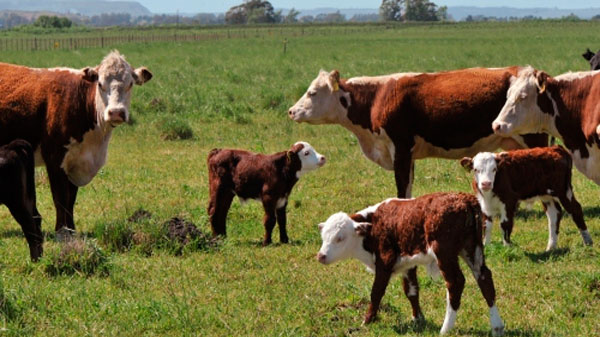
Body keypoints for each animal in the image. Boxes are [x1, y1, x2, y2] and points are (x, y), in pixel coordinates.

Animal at [0, 51, 152, 232]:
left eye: (130, 84)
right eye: (100, 84)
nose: (116, 112)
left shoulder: (77, 161)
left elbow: (70, 200)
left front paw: (71, 229)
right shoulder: (55, 158)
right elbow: (60, 198)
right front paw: (62, 231)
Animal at [288, 69, 548, 198]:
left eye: (312, 92)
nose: (291, 111)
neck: (377, 97)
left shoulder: (400, 148)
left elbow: (402, 186)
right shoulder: (407, 154)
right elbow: (409, 186)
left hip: (533, 138)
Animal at [316, 193, 504, 334]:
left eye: (340, 238)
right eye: (324, 237)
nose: (321, 256)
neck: (374, 225)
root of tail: (466, 199)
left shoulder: (385, 262)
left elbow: (376, 292)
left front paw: (367, 321)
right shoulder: (407, 264)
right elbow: (412, 291)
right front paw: (417, 318)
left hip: (445, 253)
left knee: (455, 283)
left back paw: (445, 329)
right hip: (473, 249)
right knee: (484, 278)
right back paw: (497, 326)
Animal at [462, 146, 592, 251]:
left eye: (494, 169)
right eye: (476, 169)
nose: (486, 184)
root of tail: (555, 148)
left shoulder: (509, 201)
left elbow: (505, 224)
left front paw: (507, 247)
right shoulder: (484, 204)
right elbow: (486, 225)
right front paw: (486, 246)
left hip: (564, 191)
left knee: (575, 210)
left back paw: (588, 242)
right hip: (546, 195)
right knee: (554, 215)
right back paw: (551, 247)